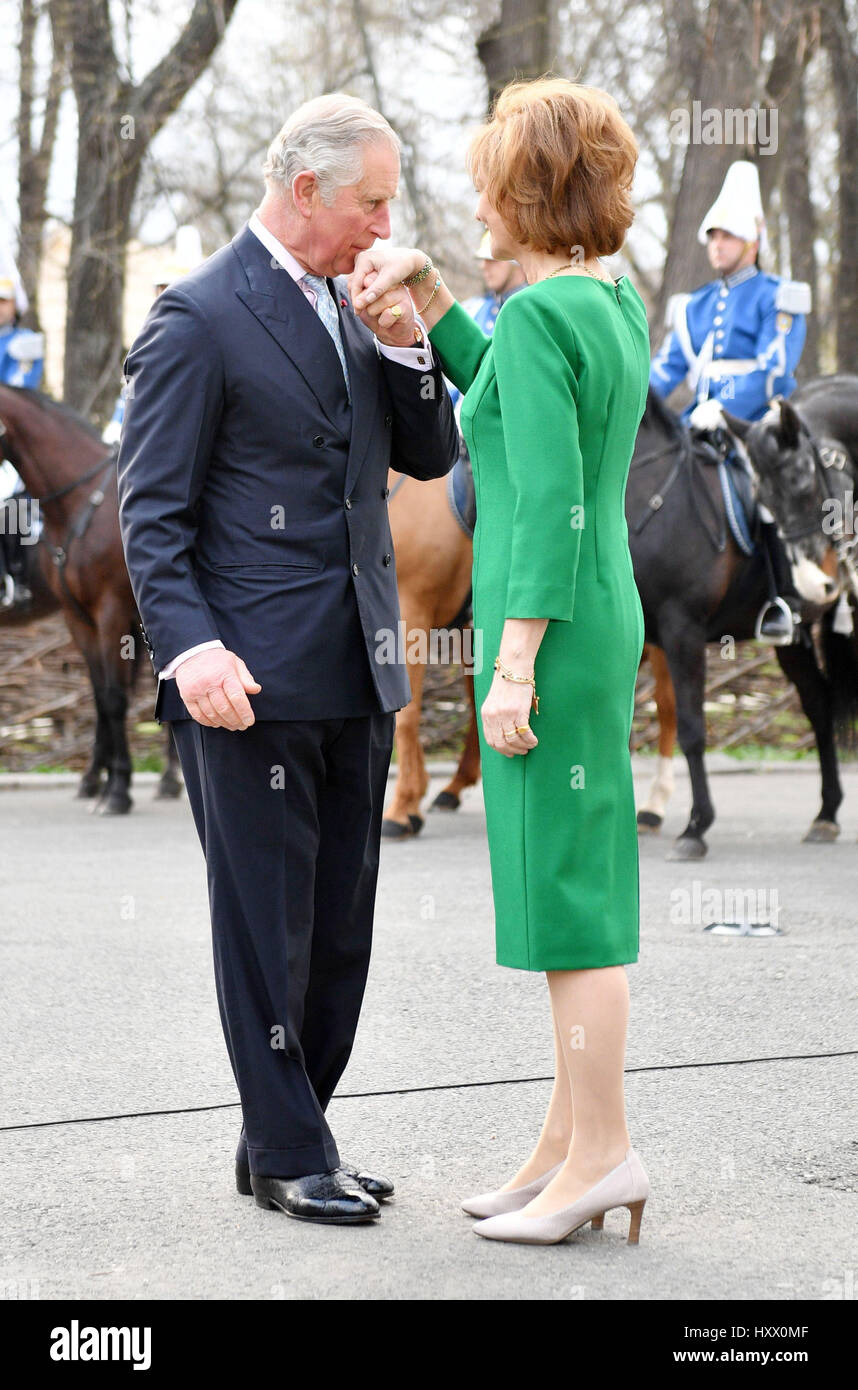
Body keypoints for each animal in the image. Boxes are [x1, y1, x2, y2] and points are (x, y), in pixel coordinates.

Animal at [0, 383, 179, 811]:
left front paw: (119, 789)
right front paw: (103, 780)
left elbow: (113, 698)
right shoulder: (78, 617)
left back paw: (167, 778)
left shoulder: (110, 612)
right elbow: (100, 696)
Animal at [628, 383, 851, 856]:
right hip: (794, 640)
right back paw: (825, 814)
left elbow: (692, 726)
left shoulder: (681, 628)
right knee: (818, 705)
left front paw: (696, 826)